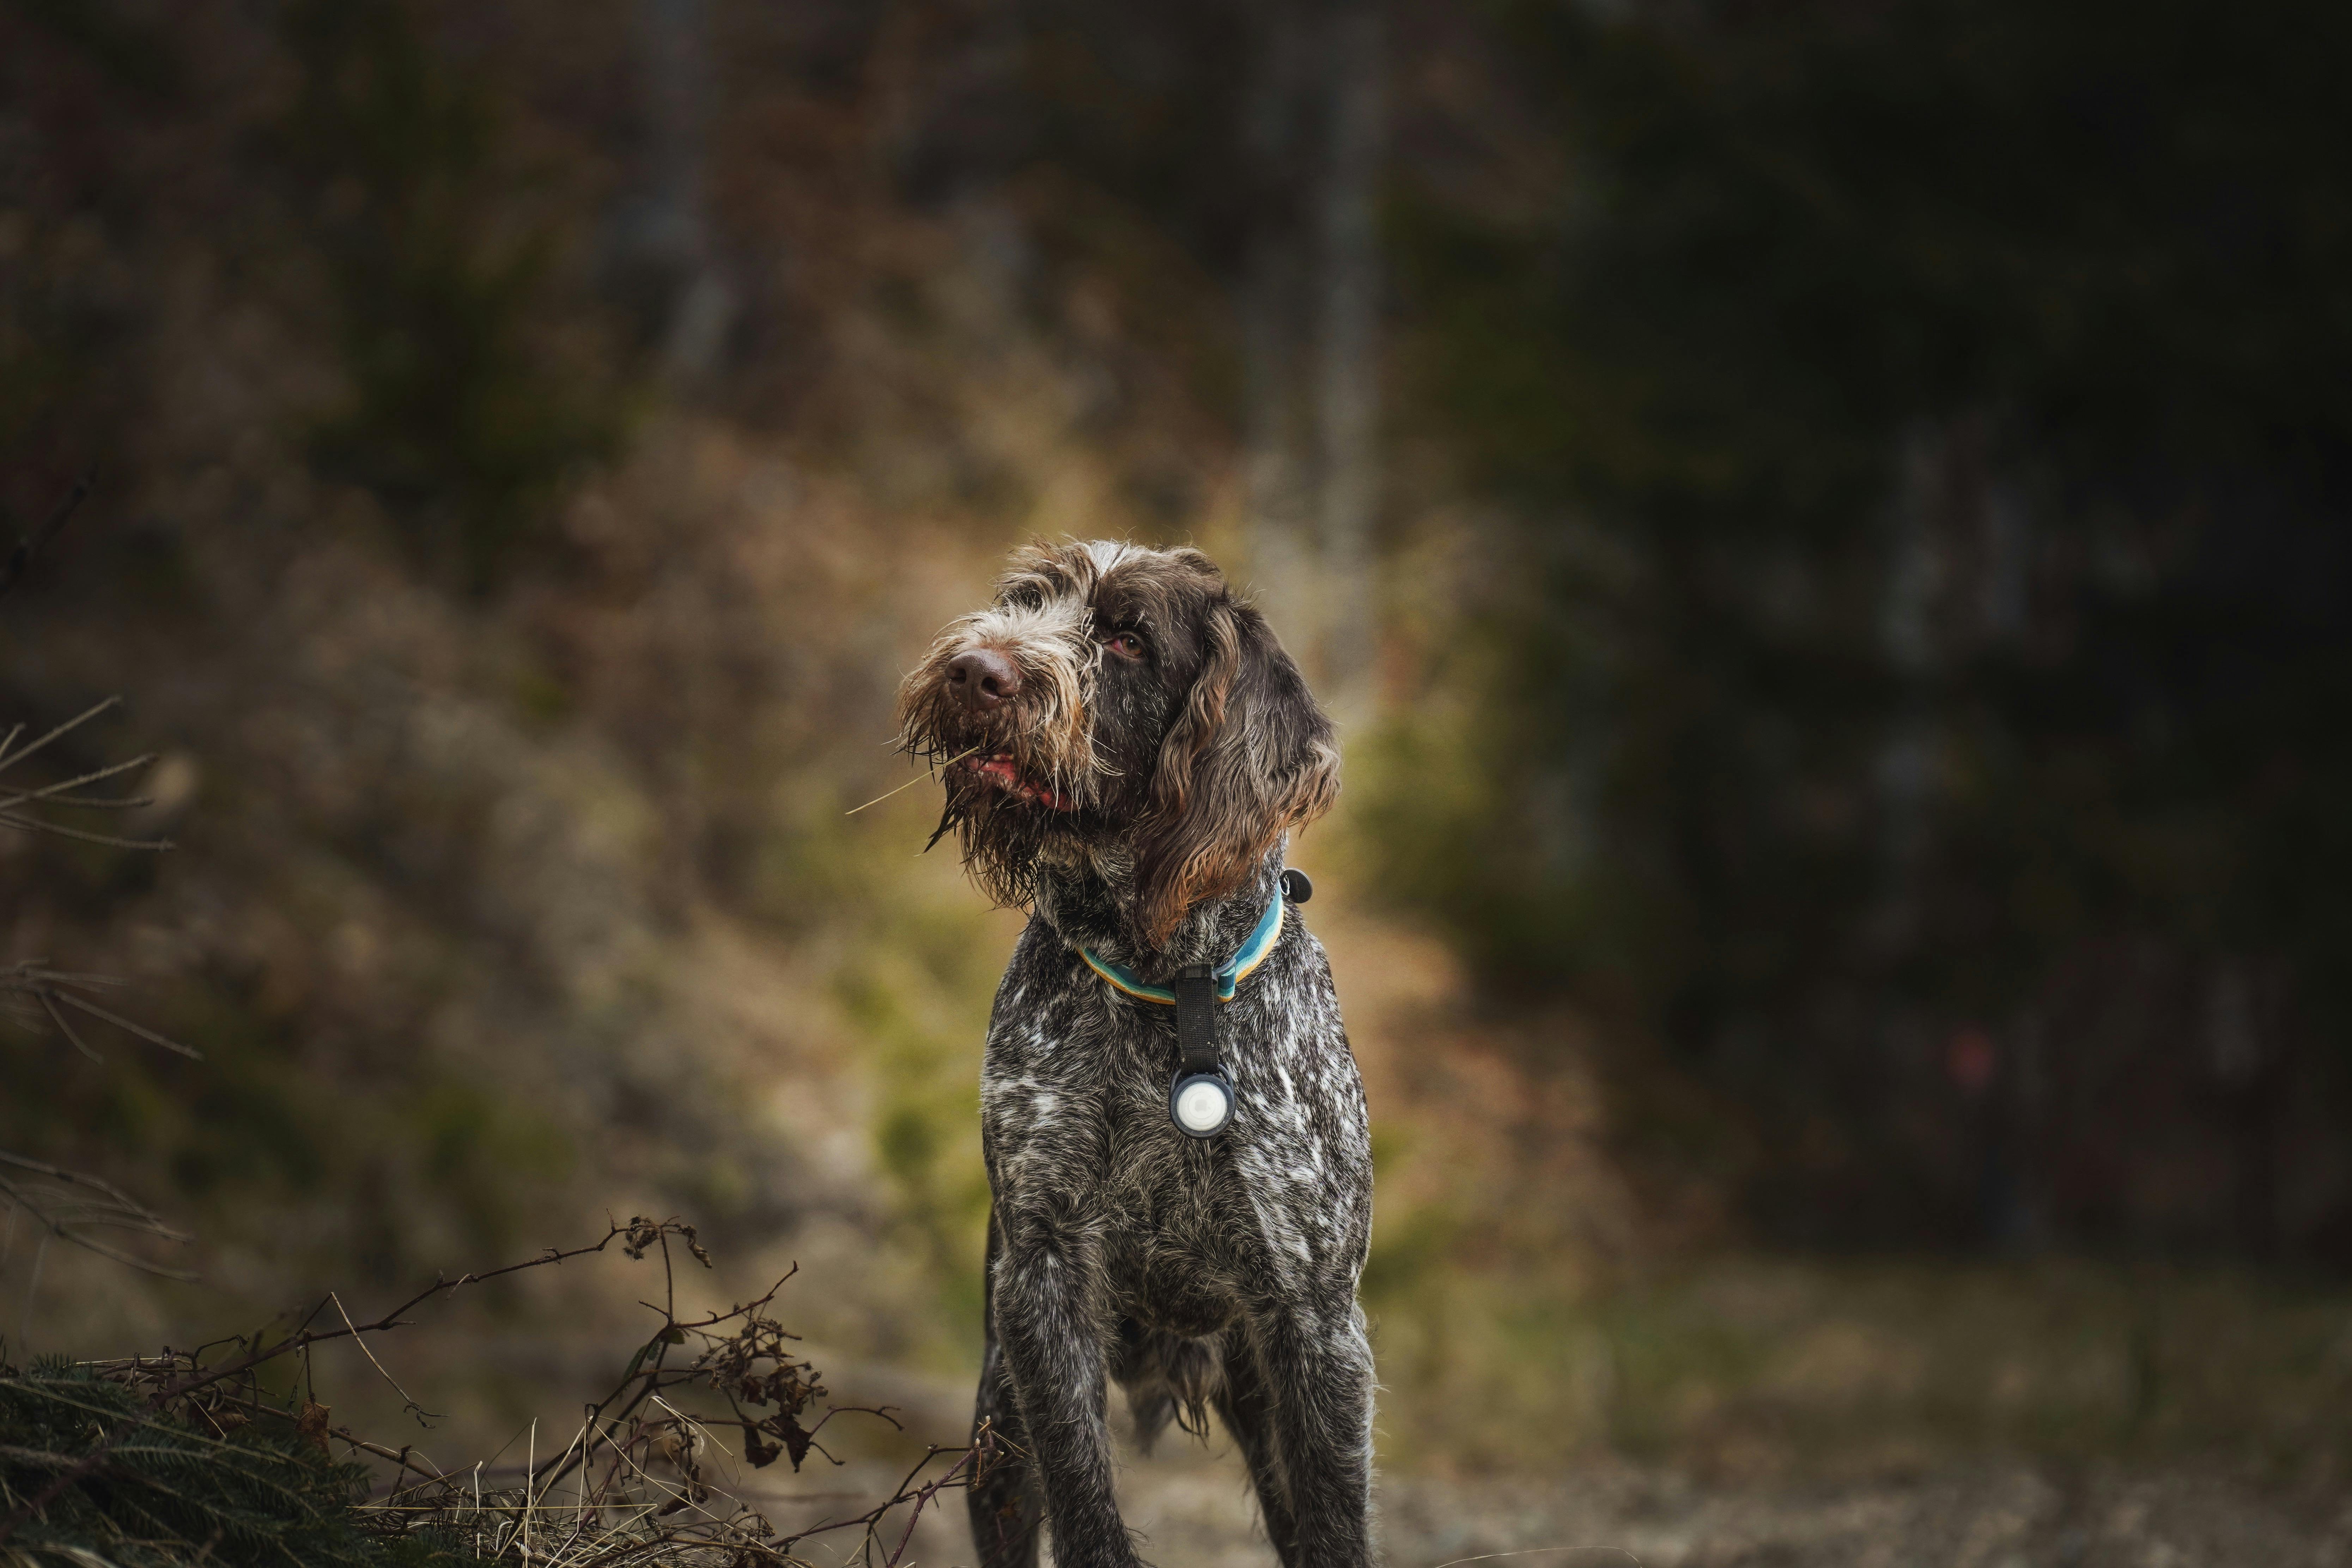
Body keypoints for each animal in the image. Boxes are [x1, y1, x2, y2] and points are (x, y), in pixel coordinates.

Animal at [898, 543, 1373, 1568]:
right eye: (1023, 600)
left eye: (1126, 639)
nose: (974, 670)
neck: (1170, 985)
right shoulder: (1042, 1277)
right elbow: (1084, 1501)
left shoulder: (1315, 1321)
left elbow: (1337, 1525)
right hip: (997, 1426)